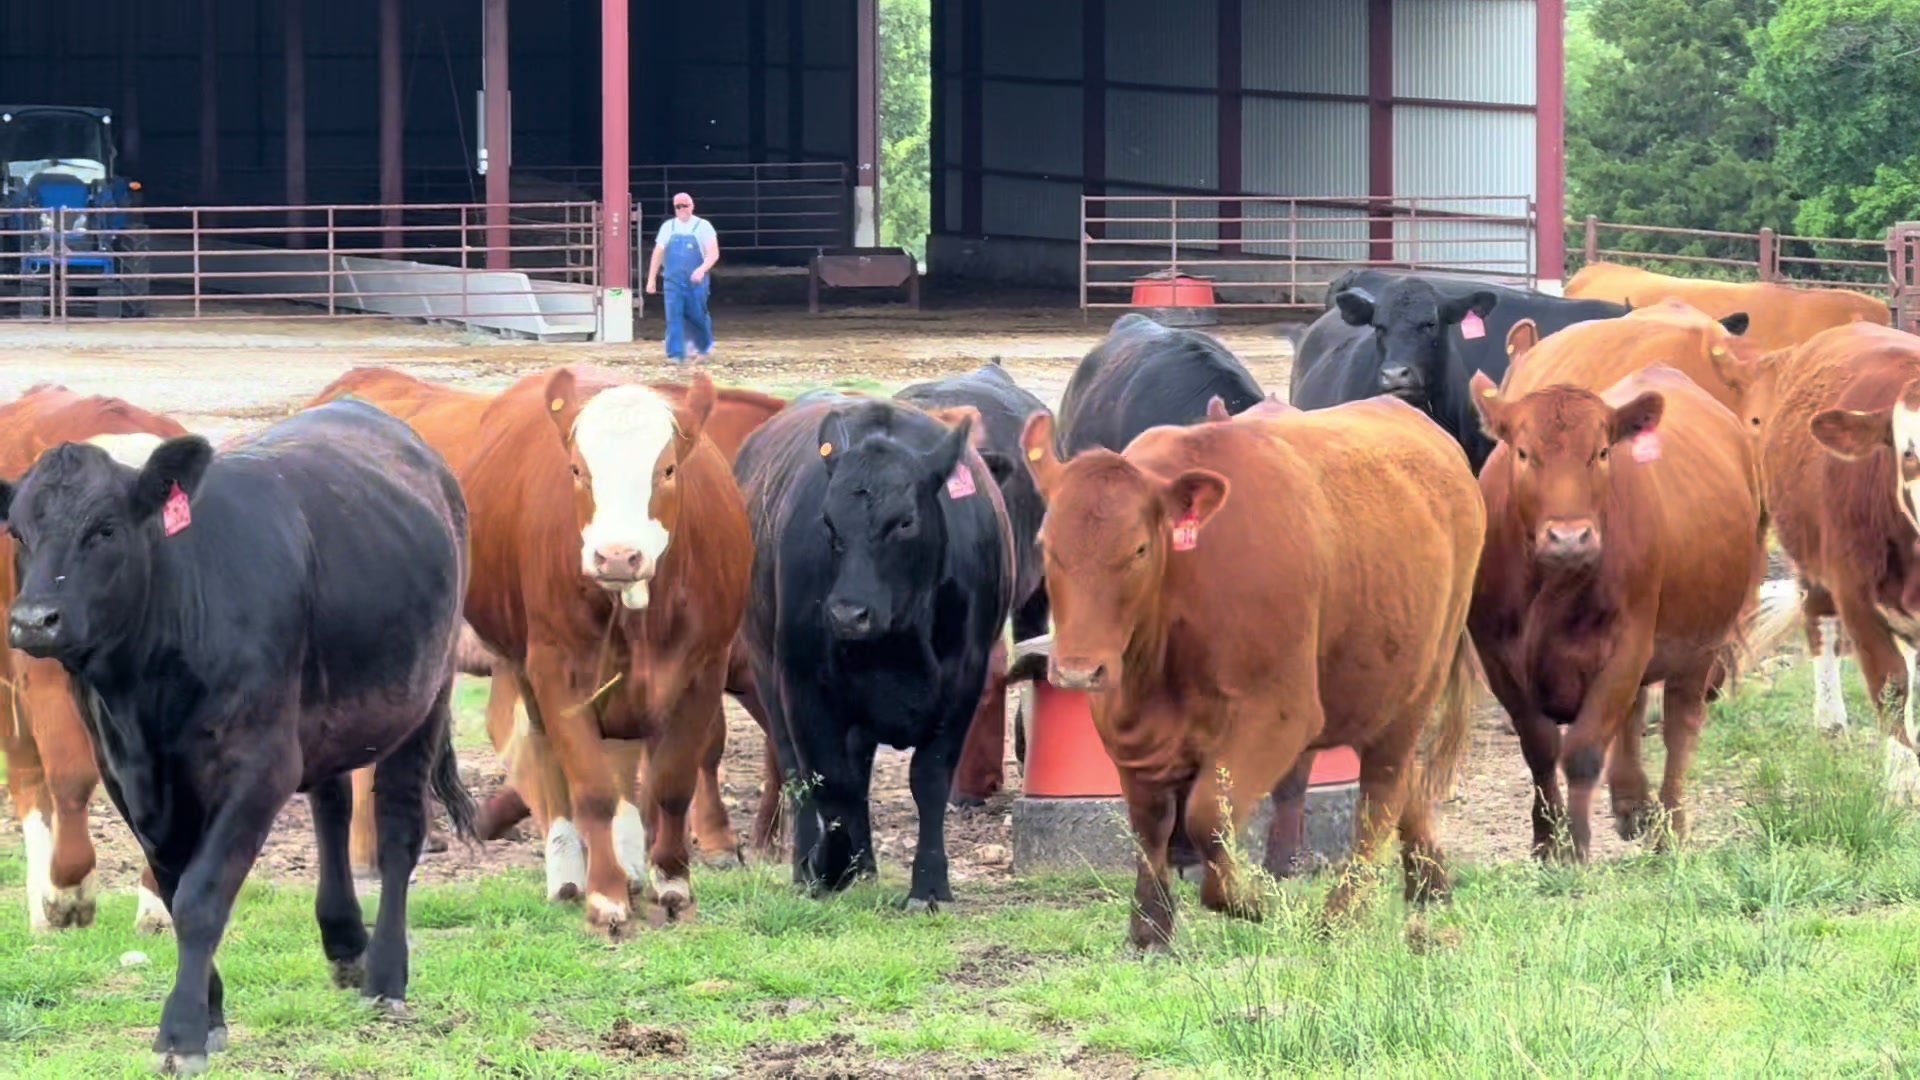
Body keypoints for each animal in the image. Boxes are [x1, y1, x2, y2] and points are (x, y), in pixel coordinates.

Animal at [0, 385, 186, 936]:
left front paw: (157, 902)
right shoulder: (39, 674)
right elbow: (69, 776)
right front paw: (67, 889)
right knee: (28, 774)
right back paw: (43, 899)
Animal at [734, 391, 1012, 909]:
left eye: (905, 521)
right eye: (828, 522)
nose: (847, 614)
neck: (897, 643)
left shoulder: (963, 682)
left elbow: (928, 779)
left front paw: (930, 886)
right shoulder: (803, 684)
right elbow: (829, 780)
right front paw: (826, 867)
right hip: (767, 672)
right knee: (799, 772)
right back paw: (815, 866)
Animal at [1018, 395, 1484, 951]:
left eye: (1139, 549)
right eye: (1045, 545)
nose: (1077, 671)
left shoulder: (1277, 718)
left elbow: (1206, 817)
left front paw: (1252, 899)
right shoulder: (1128, 729)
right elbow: (1151, 827)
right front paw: (1150, 929)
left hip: (1414, 687)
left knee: (1382, 794)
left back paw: (1343, 912)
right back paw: (1429, 883)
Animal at [1467, 362, 1789, 860]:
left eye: (1601, 453)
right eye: (1523, 453)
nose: (1569, 538)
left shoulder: (1628, 645)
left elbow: (1582, 750)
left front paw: (1577, 846)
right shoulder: (1496, 656)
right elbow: (1539, 746)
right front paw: (1547, 841)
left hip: (1700, 645)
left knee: (1679, 728)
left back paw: (1670, 829)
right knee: (1635, 712)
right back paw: (1631, 802)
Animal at [1754, 321, 1920, 791]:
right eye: (1908, 452)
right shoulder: (1856, 597)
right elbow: (1890, 684)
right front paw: (1903, 782)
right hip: (1811, 564)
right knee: (1820, 626)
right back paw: (1831, 722)